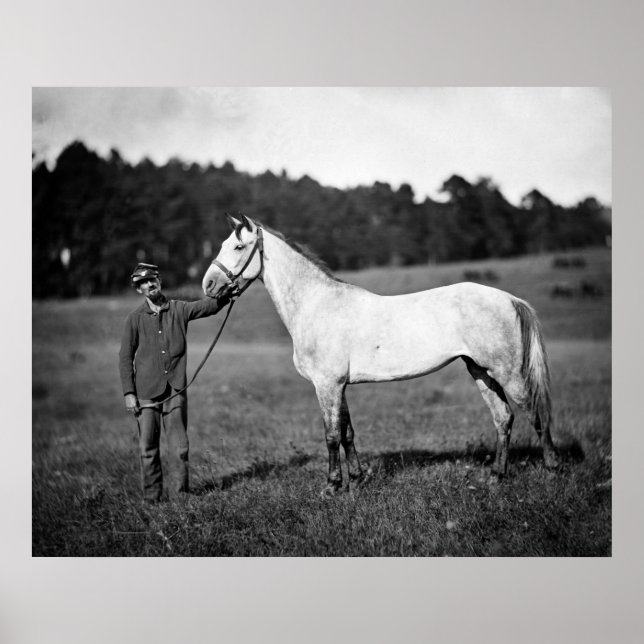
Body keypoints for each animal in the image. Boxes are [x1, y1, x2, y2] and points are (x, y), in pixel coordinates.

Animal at [202, 213, 558, 496]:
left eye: (238, 247)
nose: (208, 285)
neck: (317, 305)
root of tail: (509, 299)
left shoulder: (327, 385)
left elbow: (331, 435)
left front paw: (332, 487)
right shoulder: (339, 386)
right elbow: (347, 433)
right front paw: (357, 480)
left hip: (508, 374)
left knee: (536, 415)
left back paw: (552, 469)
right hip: (481, 371)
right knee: (503, 418)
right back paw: (496, 477)